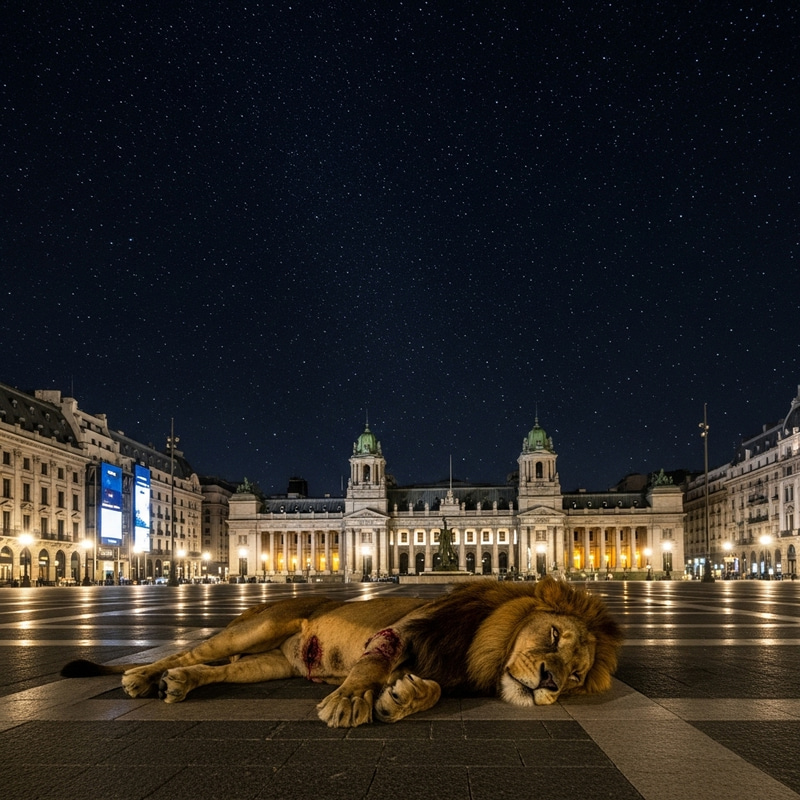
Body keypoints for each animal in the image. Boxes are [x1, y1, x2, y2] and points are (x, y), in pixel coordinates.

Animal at [61, 577, 622, 727]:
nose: (551, 681)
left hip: (268, 664)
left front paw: (404, 697)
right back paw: (144, 675)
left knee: (212, 670)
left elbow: (431, 688)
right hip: (252, 631)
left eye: (577, 675)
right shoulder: (398, 633)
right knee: (185, 653)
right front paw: (352, 700)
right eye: (553, 636)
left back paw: (181, 683)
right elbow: (371, 667)